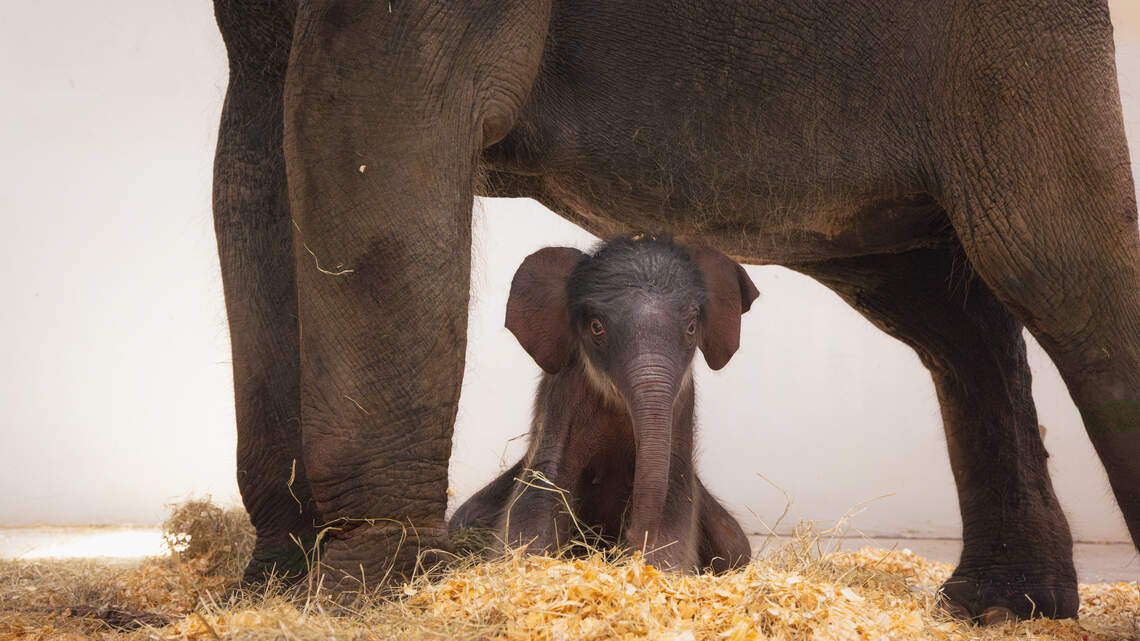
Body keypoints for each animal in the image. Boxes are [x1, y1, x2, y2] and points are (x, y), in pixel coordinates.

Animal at [450, 236, 756, 573]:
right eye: (597, 327)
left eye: (691, 327)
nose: (631, 534)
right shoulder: (564, 398)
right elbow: (543, 487)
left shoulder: (682, 405)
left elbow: (674, 493)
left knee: (734, 545)